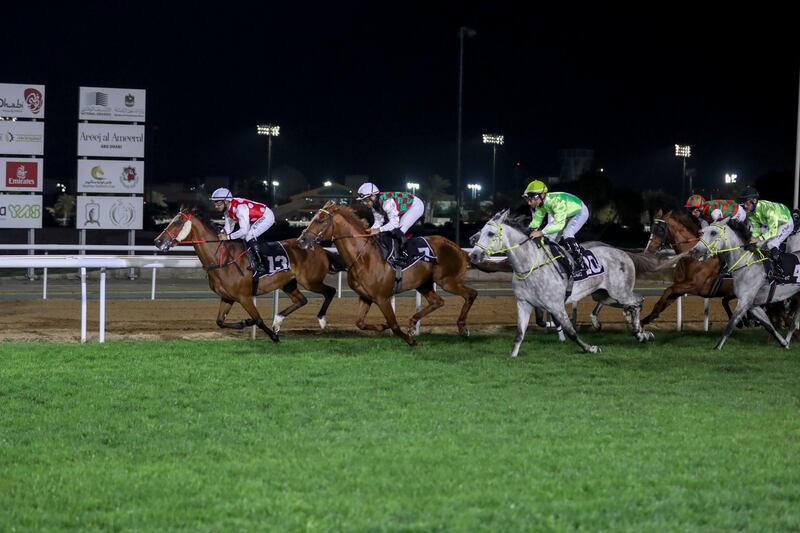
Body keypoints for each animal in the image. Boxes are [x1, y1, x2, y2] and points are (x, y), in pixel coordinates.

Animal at [153, 208, 338, 340]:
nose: (157, 241)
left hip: (311, 281)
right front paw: (245, 322)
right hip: (289, 283)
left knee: (330, 291)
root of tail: (319, 248)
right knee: (302, 300)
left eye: (178, 222)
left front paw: (273, 336)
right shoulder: (227, 297)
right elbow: (220, 322)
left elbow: (258, 319)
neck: (222, 259)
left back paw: (321, 320)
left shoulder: (244, 297)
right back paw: (278, 320)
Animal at [298, 201, 476, 344]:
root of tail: (458, 249)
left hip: (447, 281)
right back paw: (413, 323)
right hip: (424, 283)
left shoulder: (382, 298)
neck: (363, 256)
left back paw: (462, 327)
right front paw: (382, 326)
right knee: (438, 301)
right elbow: (359, 323)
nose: (301, 240)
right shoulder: (365, 296)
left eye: (320, 220)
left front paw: (411, 341)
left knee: (471, 294)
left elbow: (394, 324)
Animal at [468, 210, 656, 356]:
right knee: (630, 304)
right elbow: (520, 333)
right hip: (605, 295)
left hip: (620, 293)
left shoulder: (556, 305)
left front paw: (591, 348)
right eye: (480, 231)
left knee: (638, 300)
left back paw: (640, 332)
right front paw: (513, 356)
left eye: (490, 234)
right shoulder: (523, 303)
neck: (530, 266)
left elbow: (570, 331)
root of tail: (624, 253)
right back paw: (637, 331)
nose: (473, 255)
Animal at [688, 219, 800, 350]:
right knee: (794, 323)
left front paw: (717, 348)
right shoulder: (753, 305)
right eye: (702, 232)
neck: (745, 264)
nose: (694, 251)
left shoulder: (744, 301)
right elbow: (769, 326)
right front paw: (784, 343)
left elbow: (730, 325)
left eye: (713, 233)